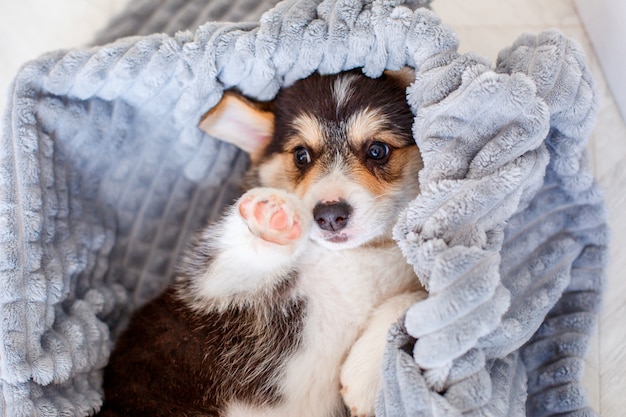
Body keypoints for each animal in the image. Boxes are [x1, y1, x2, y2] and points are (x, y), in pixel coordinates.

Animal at [97, 70, 426, 416]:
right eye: (301, 156)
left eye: (377, 150)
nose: (329, 215)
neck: (356, 255)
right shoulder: (207, 284)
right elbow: (234, 257)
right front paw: (271, 218)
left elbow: (416, 299)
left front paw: (364, 376)